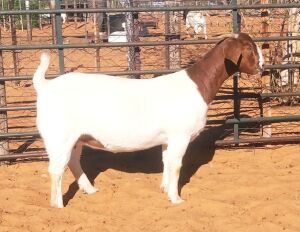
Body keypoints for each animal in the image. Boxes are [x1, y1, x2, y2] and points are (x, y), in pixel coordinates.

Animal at [32, 31, 264, 208]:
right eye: (249, 49)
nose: (262, 66)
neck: (198, 86)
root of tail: (45, 86)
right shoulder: (180, 135)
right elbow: (177, 165)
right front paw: (176, 198)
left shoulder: (168, 138)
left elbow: (167, 161)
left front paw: (164, 188)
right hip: (59, 136)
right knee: (56, 170)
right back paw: (58, 205)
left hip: (76, 137)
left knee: (72, 161)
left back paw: (90, 190)